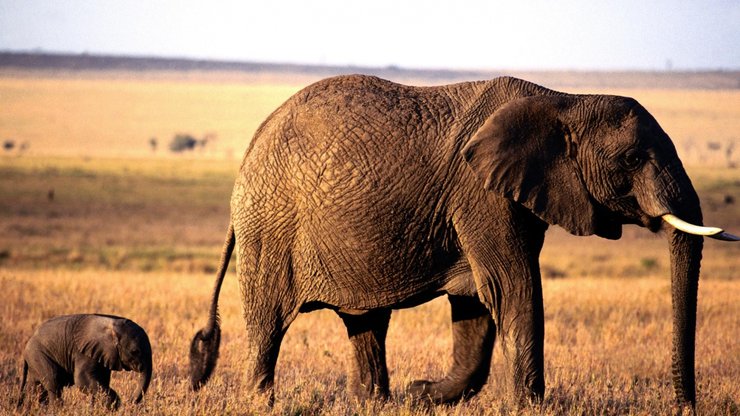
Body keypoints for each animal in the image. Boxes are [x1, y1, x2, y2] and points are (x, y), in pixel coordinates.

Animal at [17, 314, 152, 408]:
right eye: (135, 351)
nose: (130, 402)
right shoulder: (84, 352)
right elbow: (82, 380)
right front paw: (114, 405)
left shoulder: (102, 354)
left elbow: (101, 381)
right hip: (38, 354)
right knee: (53, 381)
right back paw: (56, 410)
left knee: (36, 387)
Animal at [189, 74, 736, 406]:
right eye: (632, 159)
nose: (684, 406)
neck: (562, 99)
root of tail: (252, 144)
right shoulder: (481, 195)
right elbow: (512, 288)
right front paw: (527, 407)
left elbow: (476, 302)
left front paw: (421, 393)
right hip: (270, 227)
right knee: (268, 323)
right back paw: (261, 402)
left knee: (366, 323)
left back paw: (377, 402)